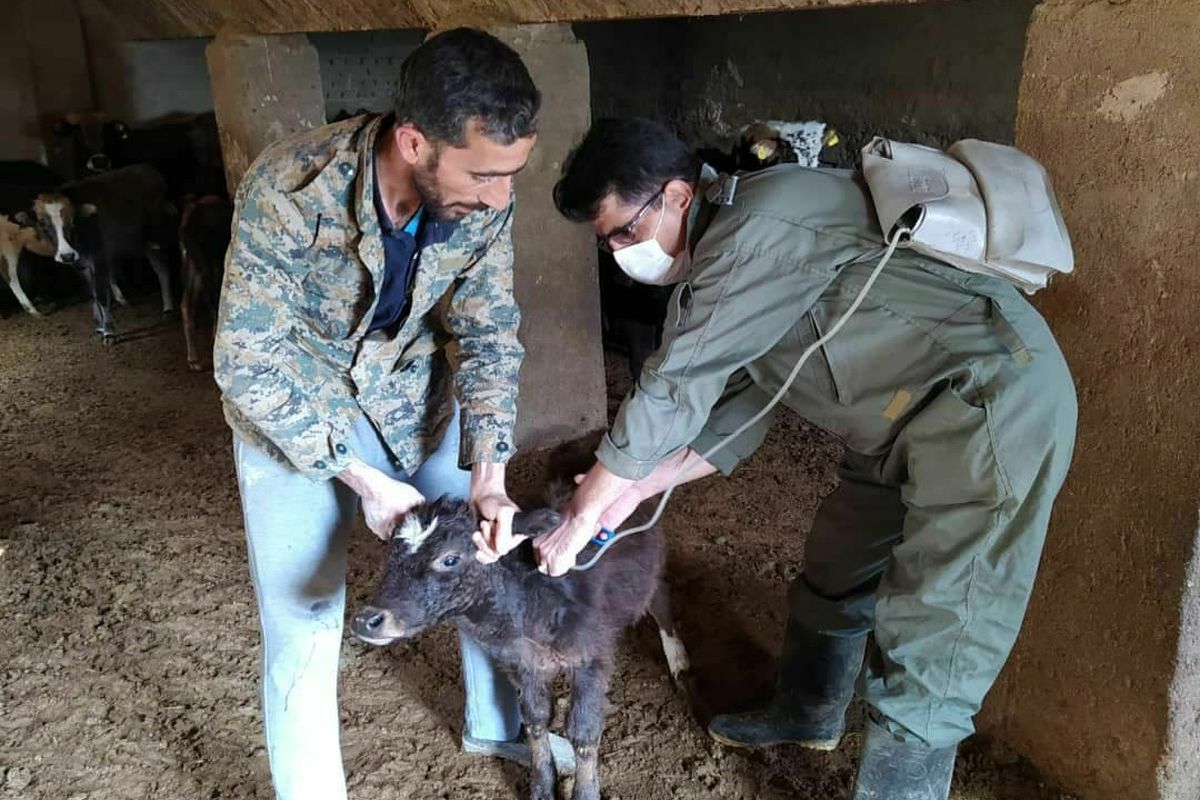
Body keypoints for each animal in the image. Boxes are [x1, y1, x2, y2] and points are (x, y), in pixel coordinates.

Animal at [32, 165, 176, 340]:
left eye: (73, 221)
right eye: (42, 223)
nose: (66, 255)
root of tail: (147, 169)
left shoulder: (99, 257)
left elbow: (100, 294)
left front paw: (109, 331)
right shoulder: (80, 264)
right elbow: (93, 293)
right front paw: (99, 326)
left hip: (156, 239)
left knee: (163, 271)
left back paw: (168, 310)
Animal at [350, 482, 696, 800]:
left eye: (449, 559)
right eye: (390, 556)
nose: (366, 619)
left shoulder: (591, 657)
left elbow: (583, 733)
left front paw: (585, 792)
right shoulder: (523, 664)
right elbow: (535, 720)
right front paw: (542, 786)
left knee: (661, 595)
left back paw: (679, 661)